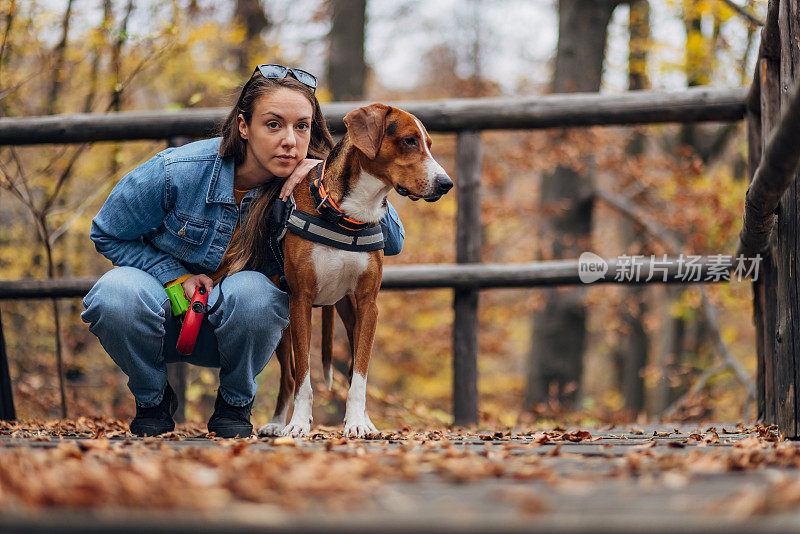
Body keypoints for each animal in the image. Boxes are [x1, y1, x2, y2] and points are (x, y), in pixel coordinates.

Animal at [260, 103, 454, 440]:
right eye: (409, 141)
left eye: (429, 143)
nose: (446, 184)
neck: (352, 212)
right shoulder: (300, 301)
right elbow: (303, 378)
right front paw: (299, 423)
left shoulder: (367, 305)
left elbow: (359, 376)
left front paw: (357, 423)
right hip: (283, 325)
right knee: (288, 376)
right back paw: (277, 422)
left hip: (349, 314)